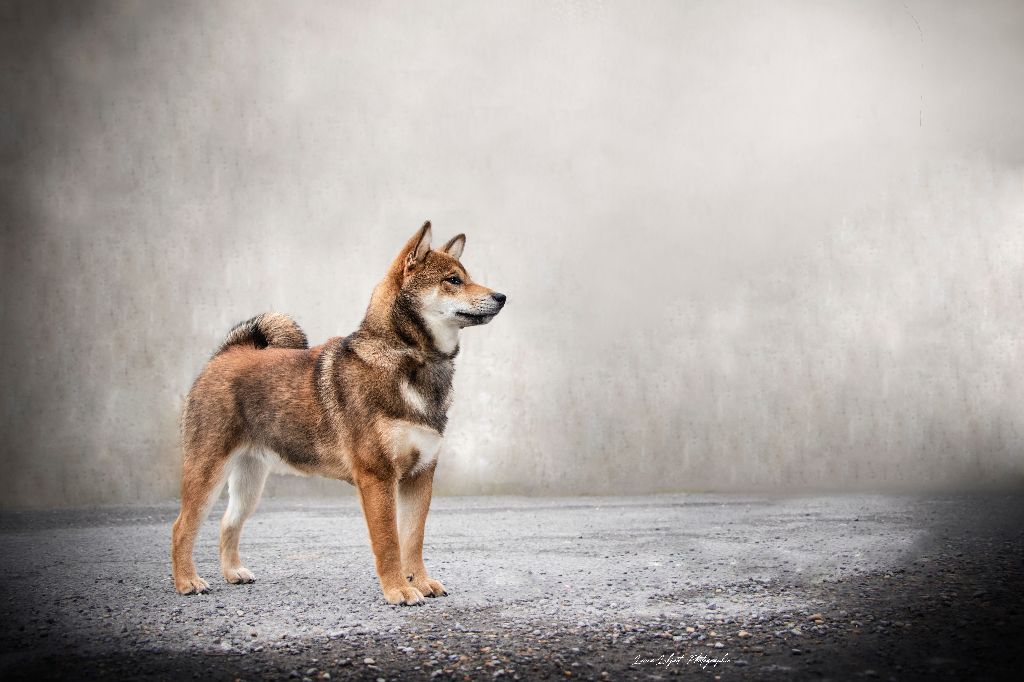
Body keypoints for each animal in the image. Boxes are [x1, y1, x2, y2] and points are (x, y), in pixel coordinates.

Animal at [169, 222, 505, 602]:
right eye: (453, 280)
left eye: (467, 277)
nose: (501, 297)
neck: (410, 358)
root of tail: (223, 356)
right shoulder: (377, 477)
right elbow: (389, 543)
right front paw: (398, 590)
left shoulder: (420, 475)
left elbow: (413, 540)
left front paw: (419, 581)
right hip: (207, 472)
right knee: (181, 527)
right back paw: (187, 581)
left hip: (249, 482)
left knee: (228, 523)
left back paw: (232, 572)